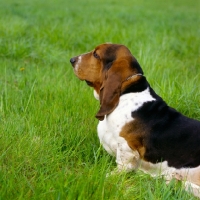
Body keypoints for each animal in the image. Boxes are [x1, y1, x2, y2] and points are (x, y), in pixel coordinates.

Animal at [70, 43, 200, 198]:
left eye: (96, 54)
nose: (72, 60)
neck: (126, 92)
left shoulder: (126, 148)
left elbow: (122, 166)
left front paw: (106, 177)